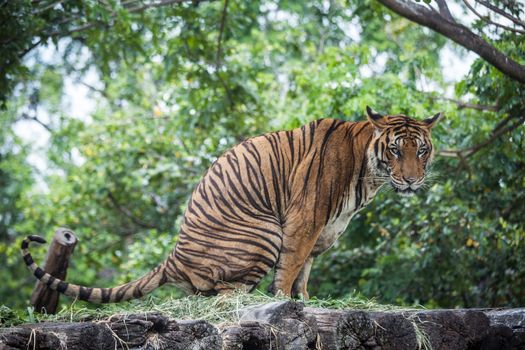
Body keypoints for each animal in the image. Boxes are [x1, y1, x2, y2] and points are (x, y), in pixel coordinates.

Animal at [20, 105, 440, 302]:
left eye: (421, 150)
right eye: (395, 150)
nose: (412, 179)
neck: (369, 175)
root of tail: (173, 256)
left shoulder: (323, 232)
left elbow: (305, 271)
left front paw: (308, 300)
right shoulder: (304, 221)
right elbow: (291, 268)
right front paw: (285, 302)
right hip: (264, 233)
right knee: (218, 292)